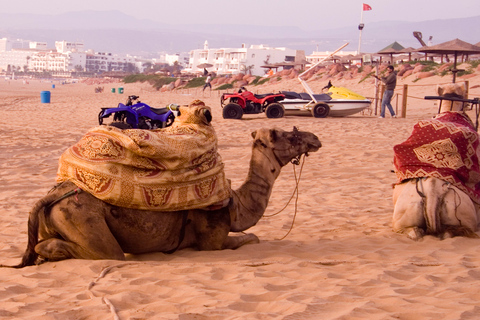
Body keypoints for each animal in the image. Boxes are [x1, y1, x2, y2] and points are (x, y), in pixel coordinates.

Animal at [4, 125, 322, 268]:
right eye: (288, 135)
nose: (315, 138)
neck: (235, 205)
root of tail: (53, 195)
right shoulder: (212, 240)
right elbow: (251, 238)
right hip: (80, 217)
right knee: (108, 253)